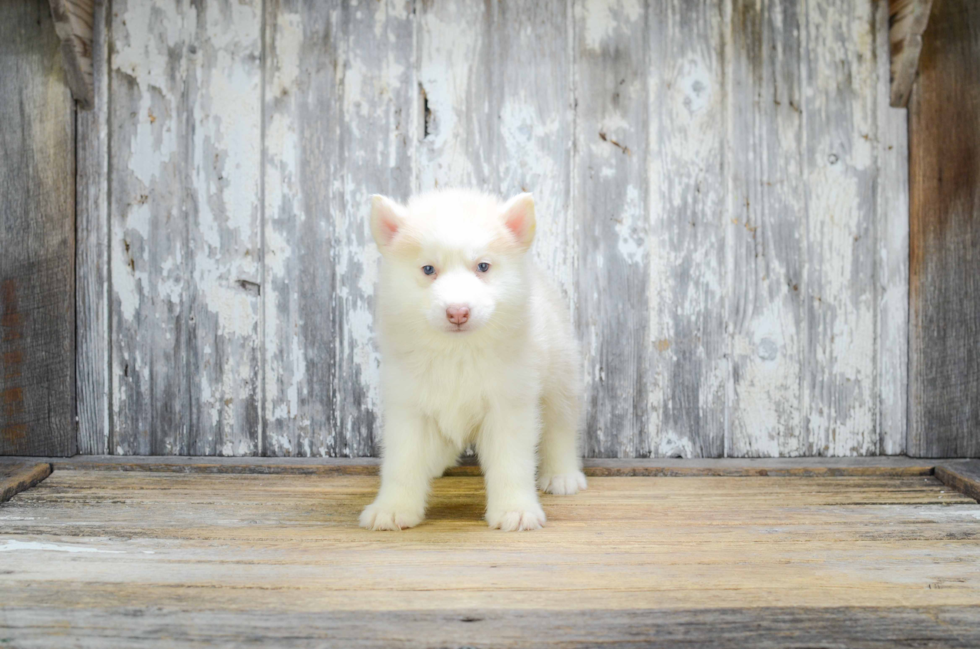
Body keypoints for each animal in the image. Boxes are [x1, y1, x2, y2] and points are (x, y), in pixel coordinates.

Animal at [362, 189, 584, 532]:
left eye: (483, 266)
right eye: (428, 269)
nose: (458, 312)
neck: (458, 351)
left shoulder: (509, 406)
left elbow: (511, 464)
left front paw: (515, 510)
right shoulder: (408, 406)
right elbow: (402, 462)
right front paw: (393, 508)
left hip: (559, 379)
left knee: (560, 428)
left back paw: (562, 475)